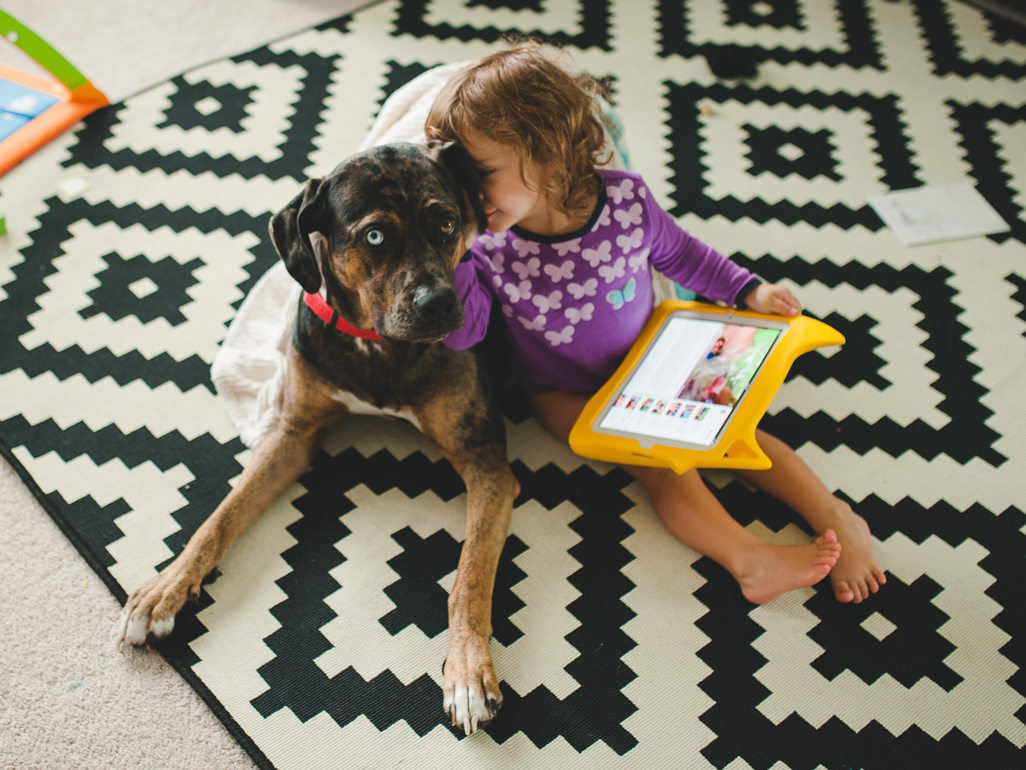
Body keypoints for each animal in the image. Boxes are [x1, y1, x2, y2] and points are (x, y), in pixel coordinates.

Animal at [117, 141, 521, 739]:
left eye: (447, 223)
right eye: (374, 235)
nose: (439, 306)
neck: (377, 344)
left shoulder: (486, 463)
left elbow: (469, 576)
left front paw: (468, 672)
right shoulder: (293, 433)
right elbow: (220, 517)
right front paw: (164, 588)